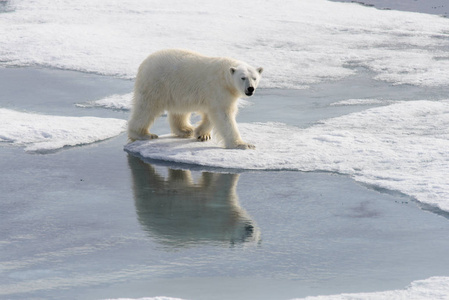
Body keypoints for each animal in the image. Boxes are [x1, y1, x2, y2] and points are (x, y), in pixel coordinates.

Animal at [127, 49, 262, 150]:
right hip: (156, 83)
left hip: (176, 90)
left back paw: (186, 130)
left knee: (179, 111)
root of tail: (144, 63)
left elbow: (211, 115)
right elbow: (223, 115)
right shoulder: (219, 89)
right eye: (243, 77)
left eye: (254, 78)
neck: (225, 76)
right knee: (146, 107)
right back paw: (144, 134)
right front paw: (243, 144)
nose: (250, 89)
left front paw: (202, 134)